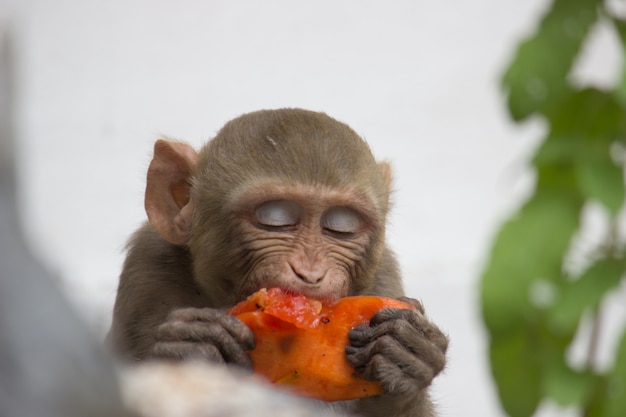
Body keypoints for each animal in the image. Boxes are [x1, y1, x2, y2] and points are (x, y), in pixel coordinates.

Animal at [108, 108, 448, 416]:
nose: (310, 273)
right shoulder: (148, 265)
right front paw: (188, 347)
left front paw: (407, 353)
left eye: (341, 225)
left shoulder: (384, 275)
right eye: (275, 218)